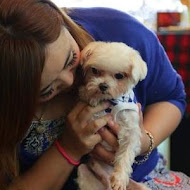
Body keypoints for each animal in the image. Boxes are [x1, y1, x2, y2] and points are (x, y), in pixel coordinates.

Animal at [76, 42, 149, 190]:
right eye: (94, 70)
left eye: (119, 76)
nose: (102, 86)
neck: (112, 102)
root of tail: (106, 181)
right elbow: (86, 93)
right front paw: (93, 97)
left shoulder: (131, 130)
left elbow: (126, 152)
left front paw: (120, 178)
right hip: (84, 172)